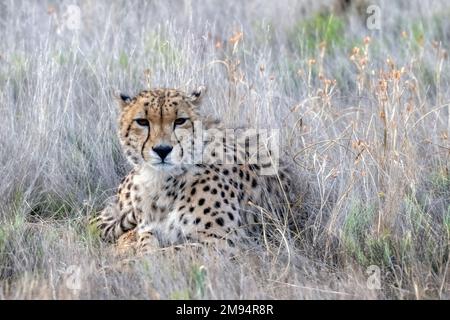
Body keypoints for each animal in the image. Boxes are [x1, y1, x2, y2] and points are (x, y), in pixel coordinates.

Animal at [92, 86, 294, 256]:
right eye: (142, 122)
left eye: (180, 121)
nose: (163, 150)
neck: (162, 182)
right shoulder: (149, 229)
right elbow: (148, 244)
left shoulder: (224, 241)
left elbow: (166, 254)